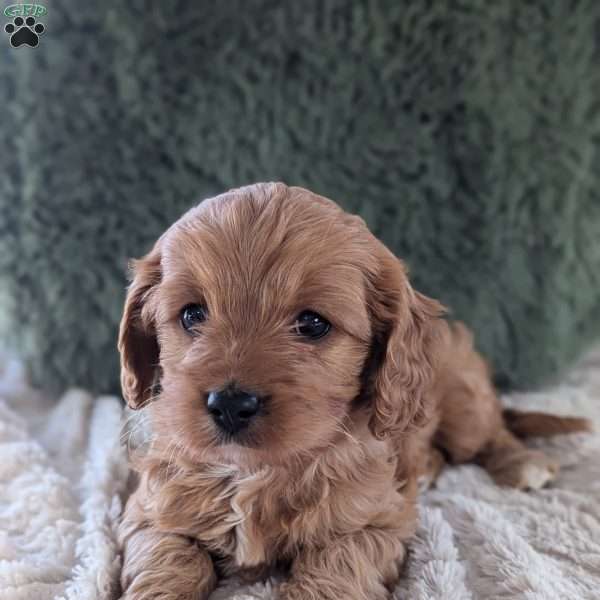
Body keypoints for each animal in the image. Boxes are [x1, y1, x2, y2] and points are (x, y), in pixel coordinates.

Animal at [118, 184, 592, 600]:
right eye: (192, 314)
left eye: (312, 323)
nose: (231, 405)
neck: (253, 472)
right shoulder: (150, 513)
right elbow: (167, 561)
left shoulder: (373, 525)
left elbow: (332, 575)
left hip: (465, 405)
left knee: (491, 433)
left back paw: (523, 461)